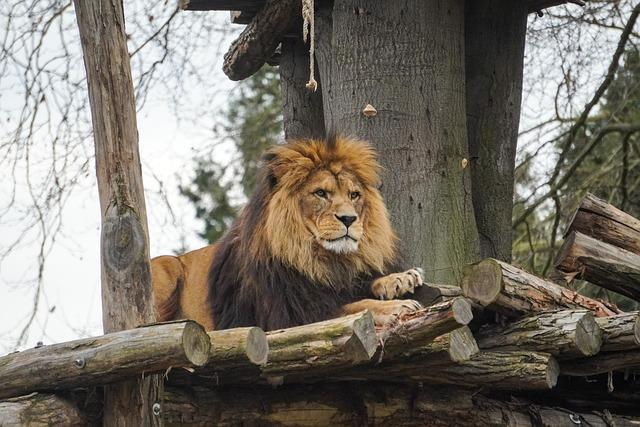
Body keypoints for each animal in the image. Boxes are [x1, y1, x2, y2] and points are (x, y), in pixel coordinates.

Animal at [151, 137, 424, 332]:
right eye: (321, 193)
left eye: (354, 195)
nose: (349, 219)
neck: (319, 260)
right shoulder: (287, 315)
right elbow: (356, 307)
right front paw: (396, 306)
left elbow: (359, 290)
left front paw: (400, 278)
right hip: (167, 270)